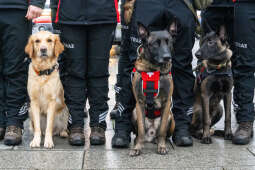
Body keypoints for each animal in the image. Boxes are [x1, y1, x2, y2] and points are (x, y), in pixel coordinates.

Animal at [129, 21, 177, 156]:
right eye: (155, 43)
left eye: (169, 42)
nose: (167, 57)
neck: (153, 69)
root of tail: (150, 136)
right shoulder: (139, 103)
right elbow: (140, 130)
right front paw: (137, 148)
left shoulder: (167, 103)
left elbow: (162, 130)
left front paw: (162, 146)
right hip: (134, 112)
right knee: (139, 134)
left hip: (171, 117)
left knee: (164, 134)